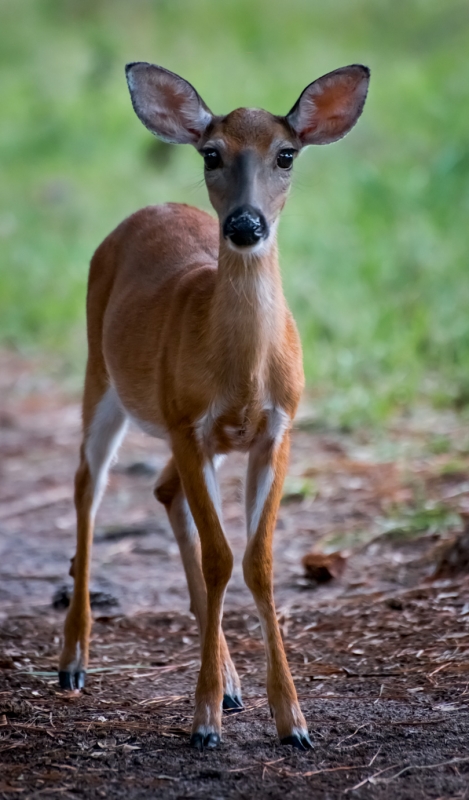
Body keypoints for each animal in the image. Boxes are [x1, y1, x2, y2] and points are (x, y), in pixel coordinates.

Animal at [58, 61, 369, 751]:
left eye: (286, 154)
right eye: (211, 153)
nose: (245, 225)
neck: (243, 375)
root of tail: (145, 210)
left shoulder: (276, 429)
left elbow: (256, 562)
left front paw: (292, 721)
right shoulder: (187, 422)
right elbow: (224, 556)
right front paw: (202, 721)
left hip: (197, 435)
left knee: (164, 493)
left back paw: (229, 681)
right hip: (102, 374)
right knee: (89, 488)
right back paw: (73, 661)